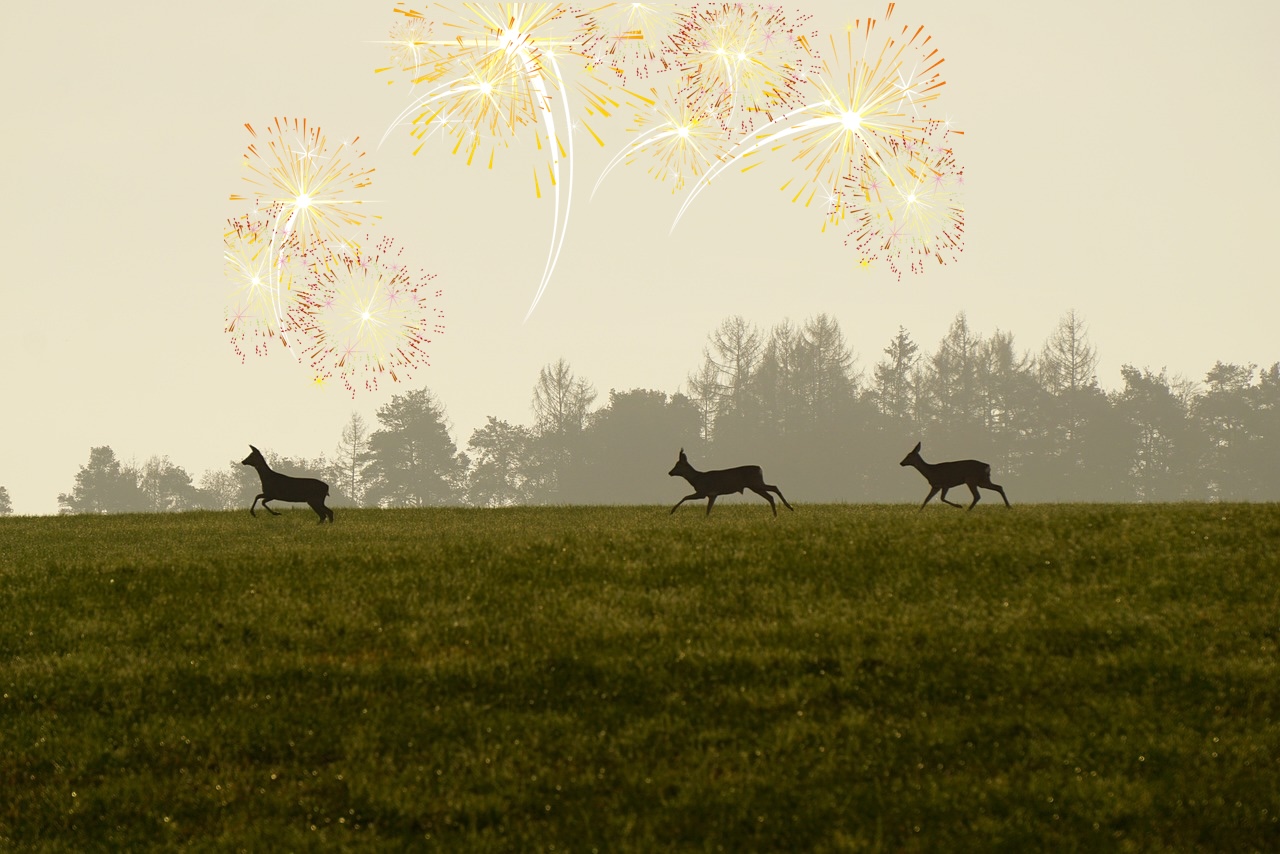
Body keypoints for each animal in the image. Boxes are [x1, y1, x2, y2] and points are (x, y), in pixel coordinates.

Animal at [665, 450, 793, 517]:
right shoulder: (712, 495)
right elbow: (708, 509)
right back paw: (776, 514)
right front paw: (706, 519)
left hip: (755, 483)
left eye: (678, 465)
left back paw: (788, 507)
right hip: (756, 485)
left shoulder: (702, 492)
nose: (670, 472)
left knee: (774, 487)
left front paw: (672, 511)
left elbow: (685, 497)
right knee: (770, 495)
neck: (696, 479)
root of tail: (759, 469)